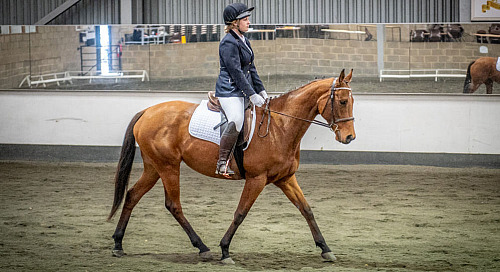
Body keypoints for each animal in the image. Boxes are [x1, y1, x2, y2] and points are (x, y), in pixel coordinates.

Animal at [107, 69, 356, 264]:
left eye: (352, 102)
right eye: (342, 102)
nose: (349, 137)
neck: (280, 126)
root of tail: (147, 112)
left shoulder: (285, 179)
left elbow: (306, 209)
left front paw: (325, 249)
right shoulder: (257, 179)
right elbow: (240, 213)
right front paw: (225, 250)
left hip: (154, 167)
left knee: (132, 195)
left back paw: (118, 244)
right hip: (168, 167)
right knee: (173, 205)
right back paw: (202, 247)